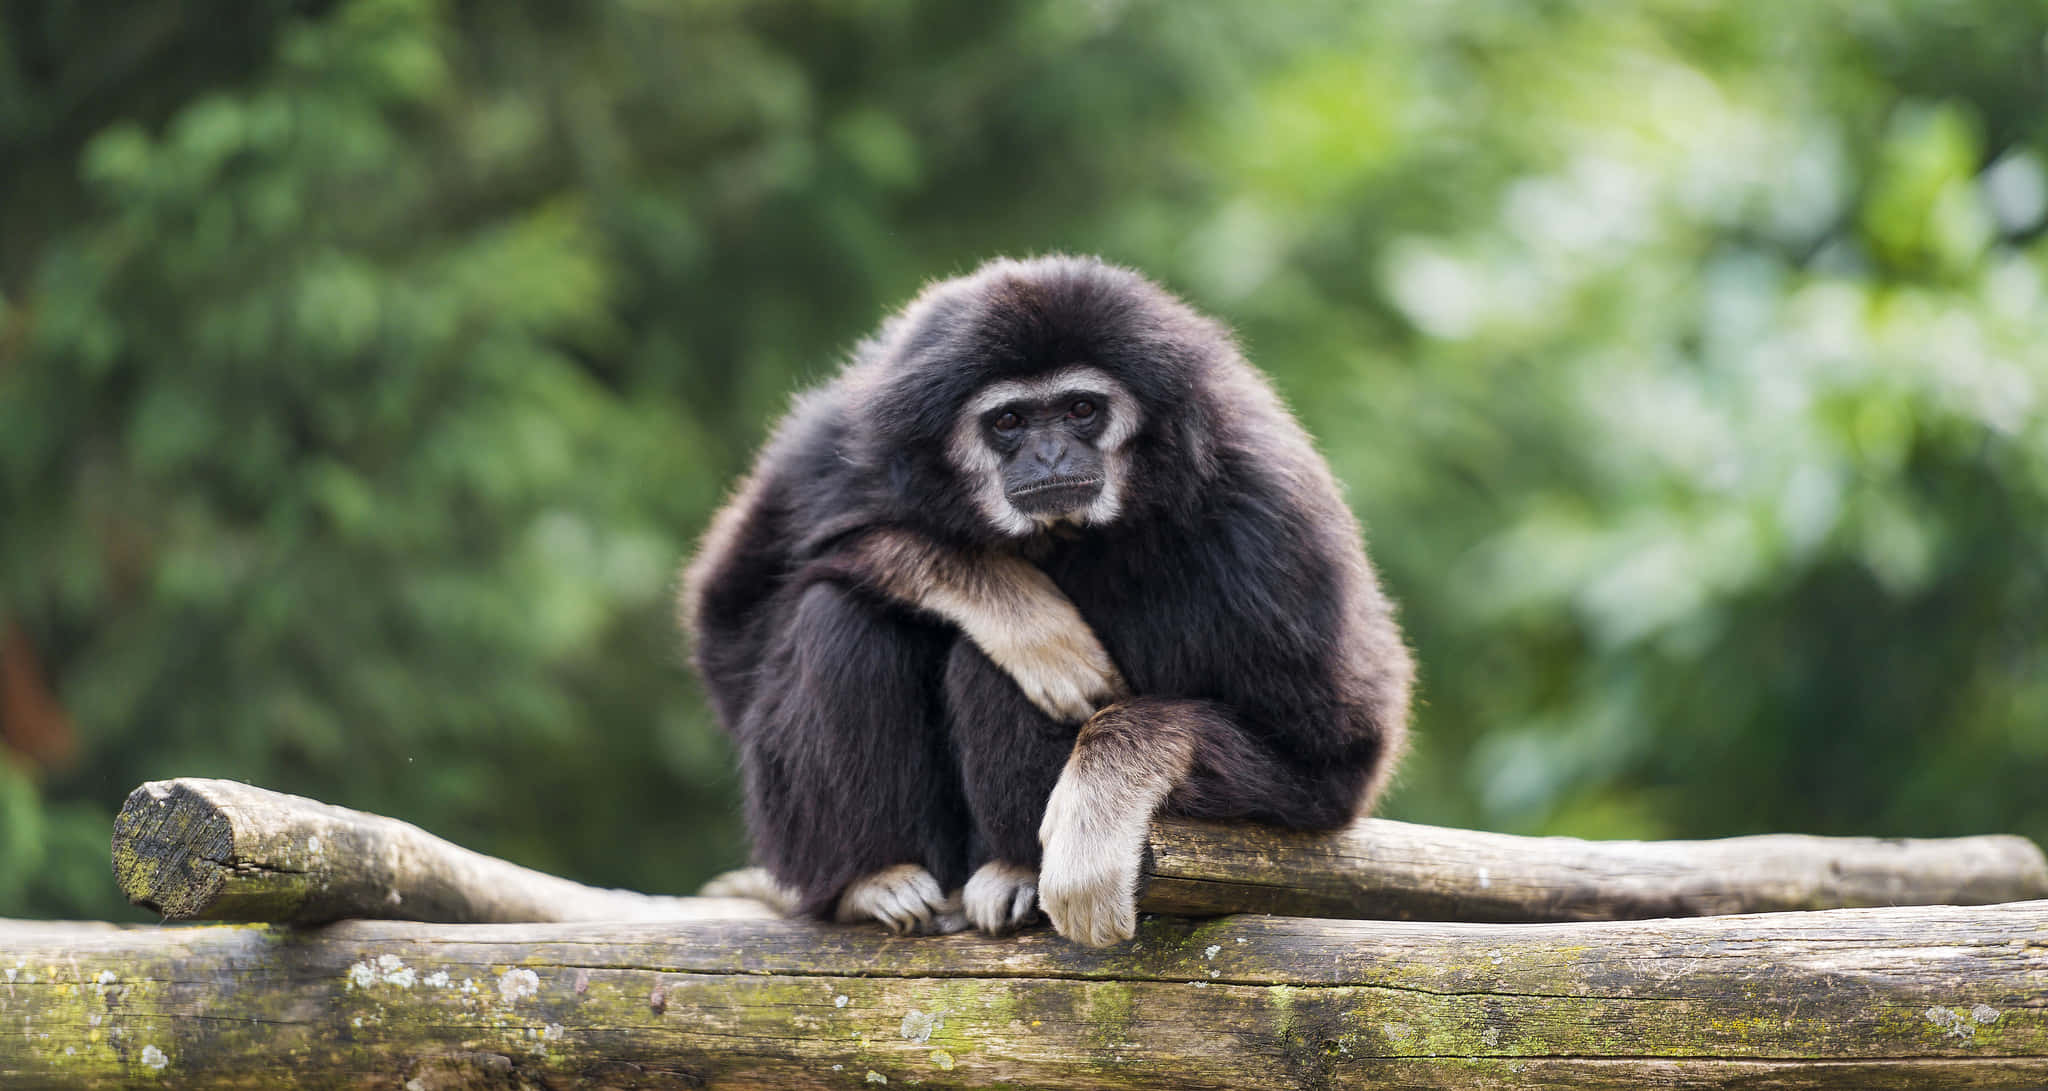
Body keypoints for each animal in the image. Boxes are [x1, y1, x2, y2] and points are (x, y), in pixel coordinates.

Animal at [681, 255, 1412, 946]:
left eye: (1082, 409)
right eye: (1009, 420)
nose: (1052, 452)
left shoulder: (1268, 515)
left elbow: (1328, 761)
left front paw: (1103, 794)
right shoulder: (833, 443)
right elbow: (733, 624)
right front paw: (1023, 613)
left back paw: (1013, 870)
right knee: (838, 613)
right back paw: (871, 878)